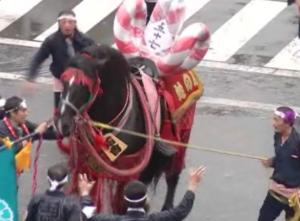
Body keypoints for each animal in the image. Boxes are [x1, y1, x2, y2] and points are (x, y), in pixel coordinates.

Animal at [58, 45, 180, 212]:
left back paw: (167, 206)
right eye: (63, 81)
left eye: (85, 85)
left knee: (173, 175)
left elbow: (121, 202)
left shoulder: (129, 166)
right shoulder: (91, 163)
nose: (62, 124)